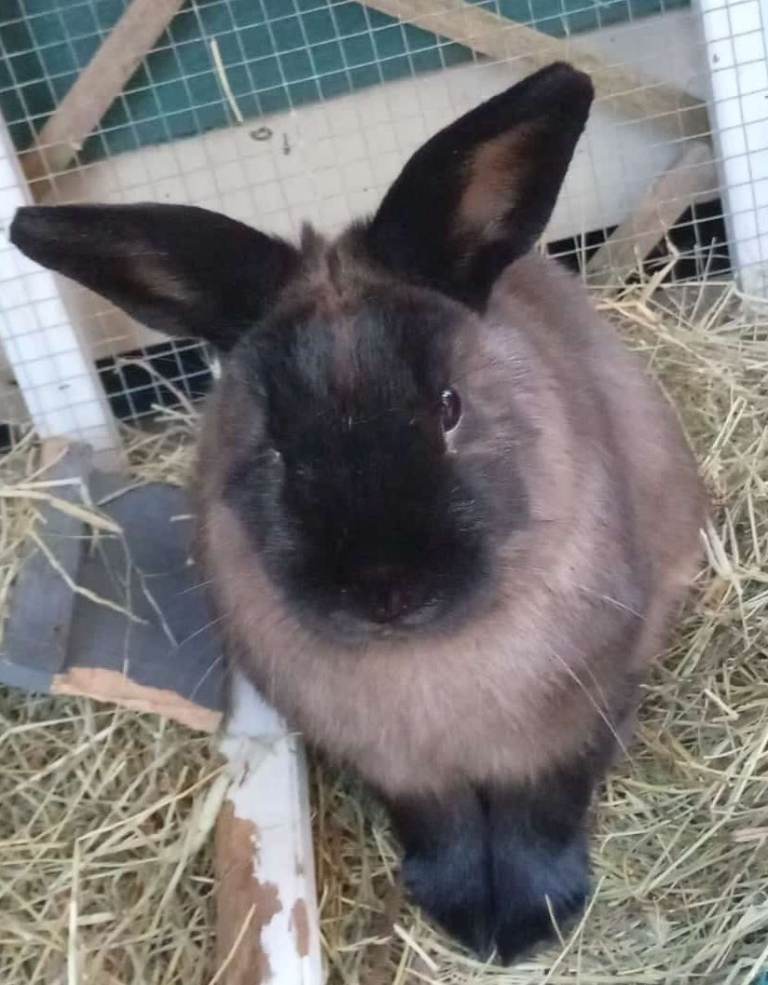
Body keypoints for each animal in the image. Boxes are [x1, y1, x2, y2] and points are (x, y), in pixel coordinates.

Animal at [10, 62, 706, 963]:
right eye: (274, 441)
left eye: (448, 407)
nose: (387, 588)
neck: (425, 662)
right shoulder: (398, 767)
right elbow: (444, 828)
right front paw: (463, 913)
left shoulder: (570, 726)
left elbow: (537, 817)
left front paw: (525, 927)